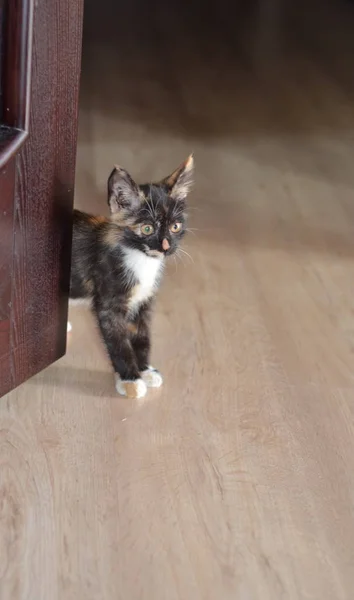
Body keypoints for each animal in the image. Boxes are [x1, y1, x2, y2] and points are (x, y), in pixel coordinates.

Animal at [69, 155, 194, 398]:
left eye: (175, 226)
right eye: (147, 229)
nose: (166, 247)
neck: (141, 259)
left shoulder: (144, 300)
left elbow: (142, 336)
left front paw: (145, 370)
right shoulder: (109, 305)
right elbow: (118, 343)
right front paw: (130, 380)